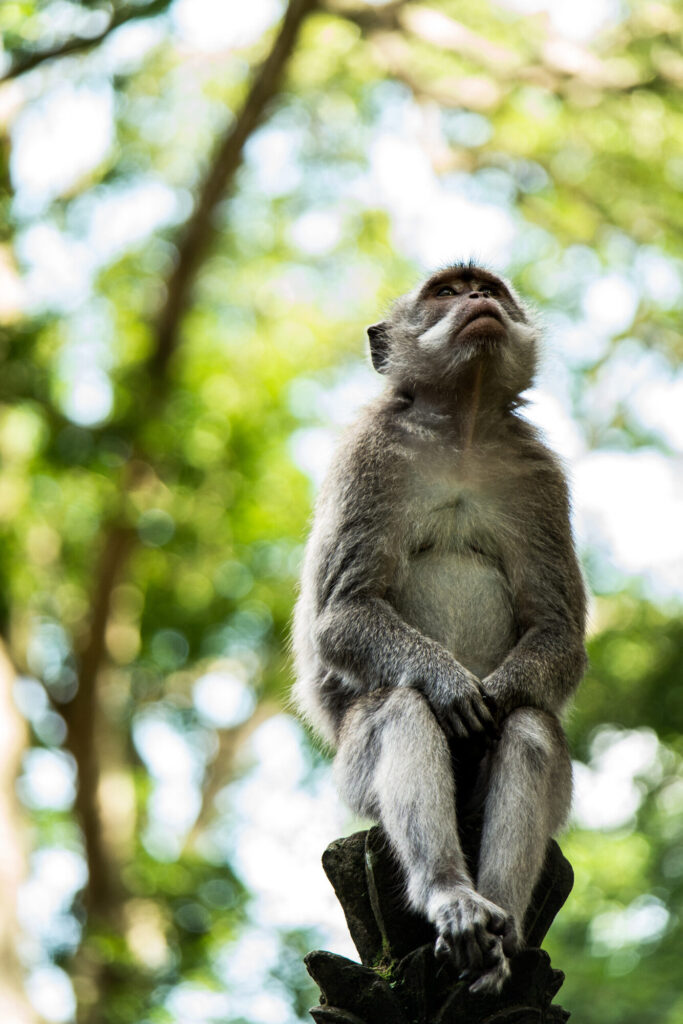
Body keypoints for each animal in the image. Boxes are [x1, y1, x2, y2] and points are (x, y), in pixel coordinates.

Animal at [292, 262, 587, 995]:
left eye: (487, 288)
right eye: (446, 292)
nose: (477, 299)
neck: (462, 427)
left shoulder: (537, 475)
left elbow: (557, 627)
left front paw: (497, 695)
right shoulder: (369, 455)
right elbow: (344, 609)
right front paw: (451, 685)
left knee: (530, 728)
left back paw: (499, 926)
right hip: (354, 779)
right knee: (400, 710)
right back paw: (450, 894)